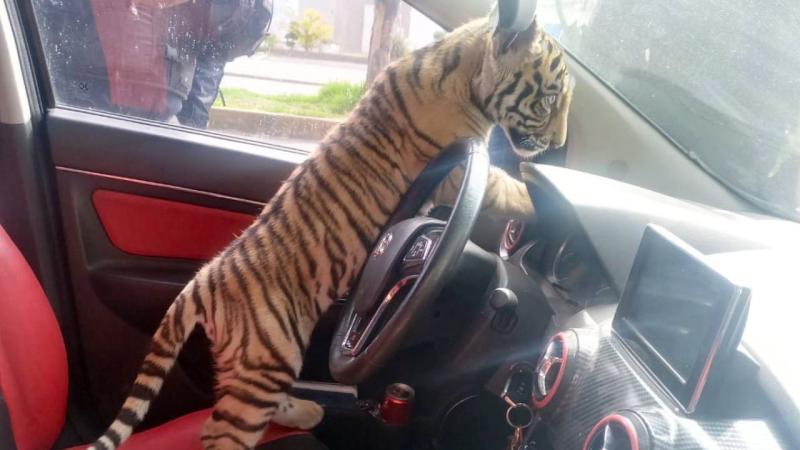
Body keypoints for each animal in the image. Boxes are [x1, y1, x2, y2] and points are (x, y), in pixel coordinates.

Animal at [90, 11, 573, 450]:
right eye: (550, 98)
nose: (559, 142)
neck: (464, 66)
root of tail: (202, 282)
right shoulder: (463, 170)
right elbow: (510, 188)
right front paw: (558, 204)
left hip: (255, 361)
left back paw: (307, 411)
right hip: (266, 359)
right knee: (219, 434)